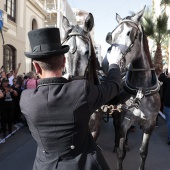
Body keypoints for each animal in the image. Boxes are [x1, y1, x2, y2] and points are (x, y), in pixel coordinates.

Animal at [102, 6, 161, 170]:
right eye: (112, 35)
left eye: (130, 33)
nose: (107, 63)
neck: (141, 90)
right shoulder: (124, 120)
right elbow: (121, 154)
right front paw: (119, 147)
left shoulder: (150, 124)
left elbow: (143, 152)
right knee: (116, 128)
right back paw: (117, 143)